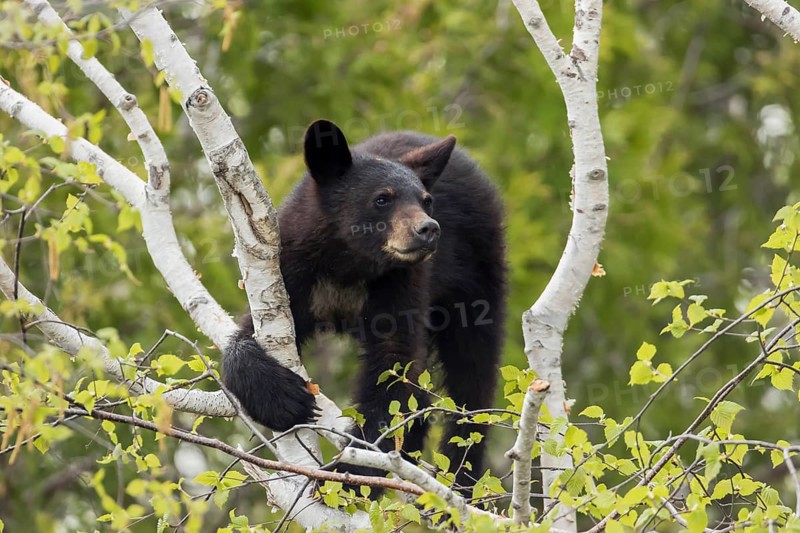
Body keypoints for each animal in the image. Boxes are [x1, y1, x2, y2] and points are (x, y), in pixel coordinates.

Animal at [222, 119, 506, 492]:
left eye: (426, 200)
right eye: (382, 198)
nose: (428, 229)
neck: (348, 263)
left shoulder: (402, 282)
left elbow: (392, 364)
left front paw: (350, 473)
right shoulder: (289, 271)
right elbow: (247, 334)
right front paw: (283, 399)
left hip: (477, 271)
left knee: (472, 376)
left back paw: (462, 477)